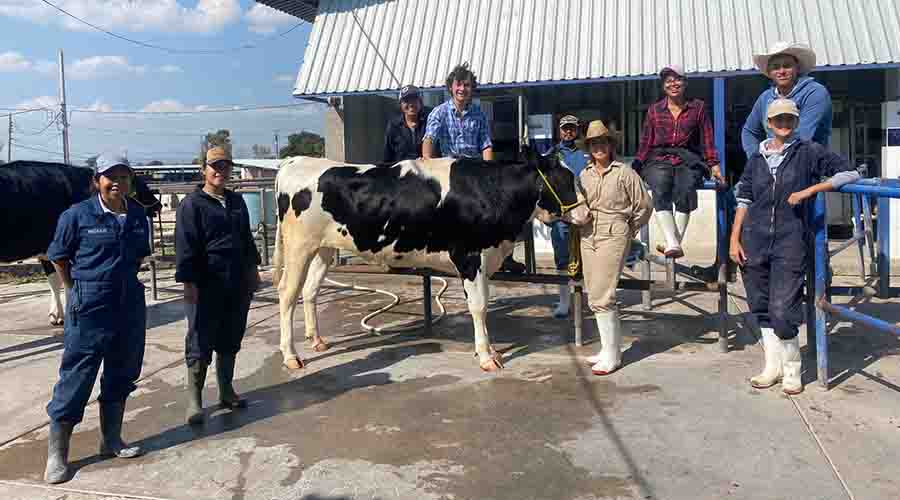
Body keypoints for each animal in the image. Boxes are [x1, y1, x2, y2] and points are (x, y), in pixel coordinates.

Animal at [274, 155, 584, 372]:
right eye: (563, 180)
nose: (587, 214)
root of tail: (296, 160)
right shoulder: (469, 257)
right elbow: (479, 306)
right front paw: (486, 356)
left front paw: (489, 351)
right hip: (298, 246)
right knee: (287, 293)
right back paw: (290, 356)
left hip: (323, 248)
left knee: (310, 290)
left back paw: (316, 340)